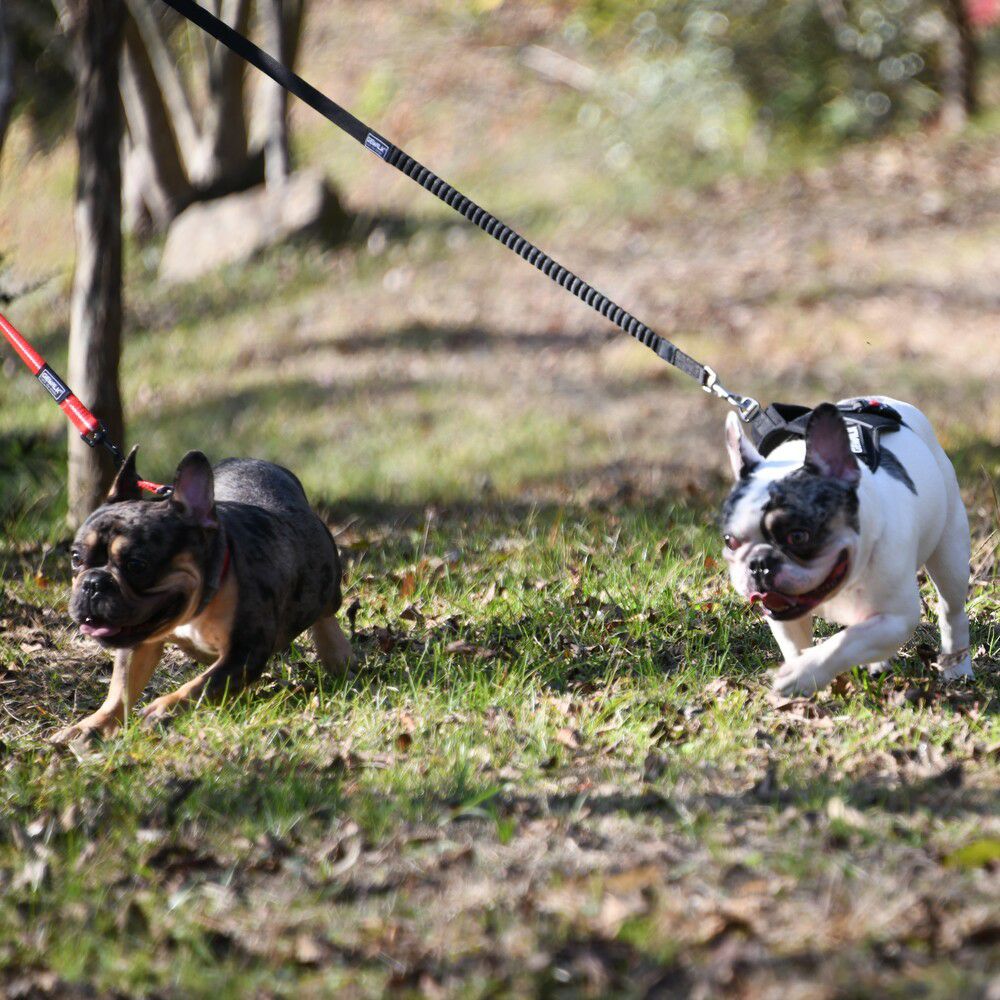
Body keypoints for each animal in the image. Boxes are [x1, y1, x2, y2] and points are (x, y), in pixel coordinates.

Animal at [52, 449, 353, 741]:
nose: (93, 583)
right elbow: (122, 688)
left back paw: (338, 654)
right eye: (76, 558)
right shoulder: (139, 643)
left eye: (137, 565)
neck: (202, 602)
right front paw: (94, 725)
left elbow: (201, 685)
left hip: (325, 582)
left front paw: (163, 707)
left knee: (326, 615)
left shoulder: (244, 652)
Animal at [720, 397, 973, 696]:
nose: (759, 564)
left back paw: (957, 667)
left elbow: (845, 643)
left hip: (950, 554)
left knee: (952, 611)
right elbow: (796, 646)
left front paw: (803, 673)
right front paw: (802, 679)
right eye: (729, 541)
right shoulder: (785, 618)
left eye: (798, 536)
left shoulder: (897, 617)